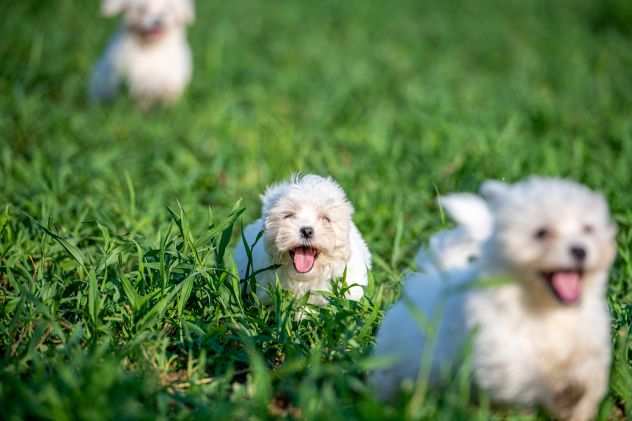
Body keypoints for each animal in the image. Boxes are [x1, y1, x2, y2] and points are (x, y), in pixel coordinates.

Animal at [370, 176, 616, 420]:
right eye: (541, 233)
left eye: (588, 229)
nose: (580, 250)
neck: (547, 308)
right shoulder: (500, 351)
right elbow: (528, 375)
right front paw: (560, 392)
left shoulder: (587, 339)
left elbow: (587, 370)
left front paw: (577, 399)